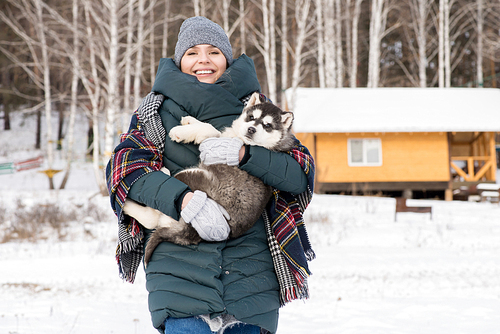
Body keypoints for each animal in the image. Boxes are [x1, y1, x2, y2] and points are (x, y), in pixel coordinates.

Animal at [123, 92, 294, 264]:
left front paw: (180, 131)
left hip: (192, 176)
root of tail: (189, 232)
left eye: (267, 125)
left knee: (154, 214)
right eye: (251, 117)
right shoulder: (219, 139)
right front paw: (190, 120)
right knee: (152, 219)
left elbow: (209, 129)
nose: (251, 129)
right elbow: (211, 128)